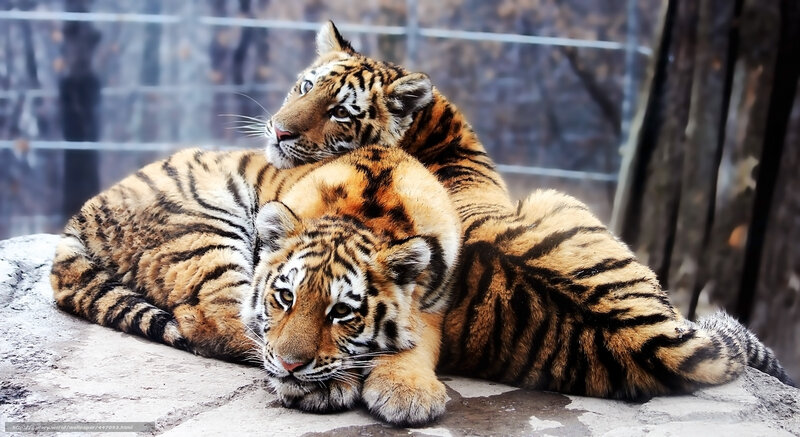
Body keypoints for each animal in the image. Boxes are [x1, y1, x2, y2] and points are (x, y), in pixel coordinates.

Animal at [50, 144, 461, 426]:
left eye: (342, 312)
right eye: (285, 297)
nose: (291, 366)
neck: (368, 216)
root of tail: (85, 212)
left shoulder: (437, 302)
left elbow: (418, 342)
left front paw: (408, 394)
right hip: (205, 230)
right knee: (213, 321)